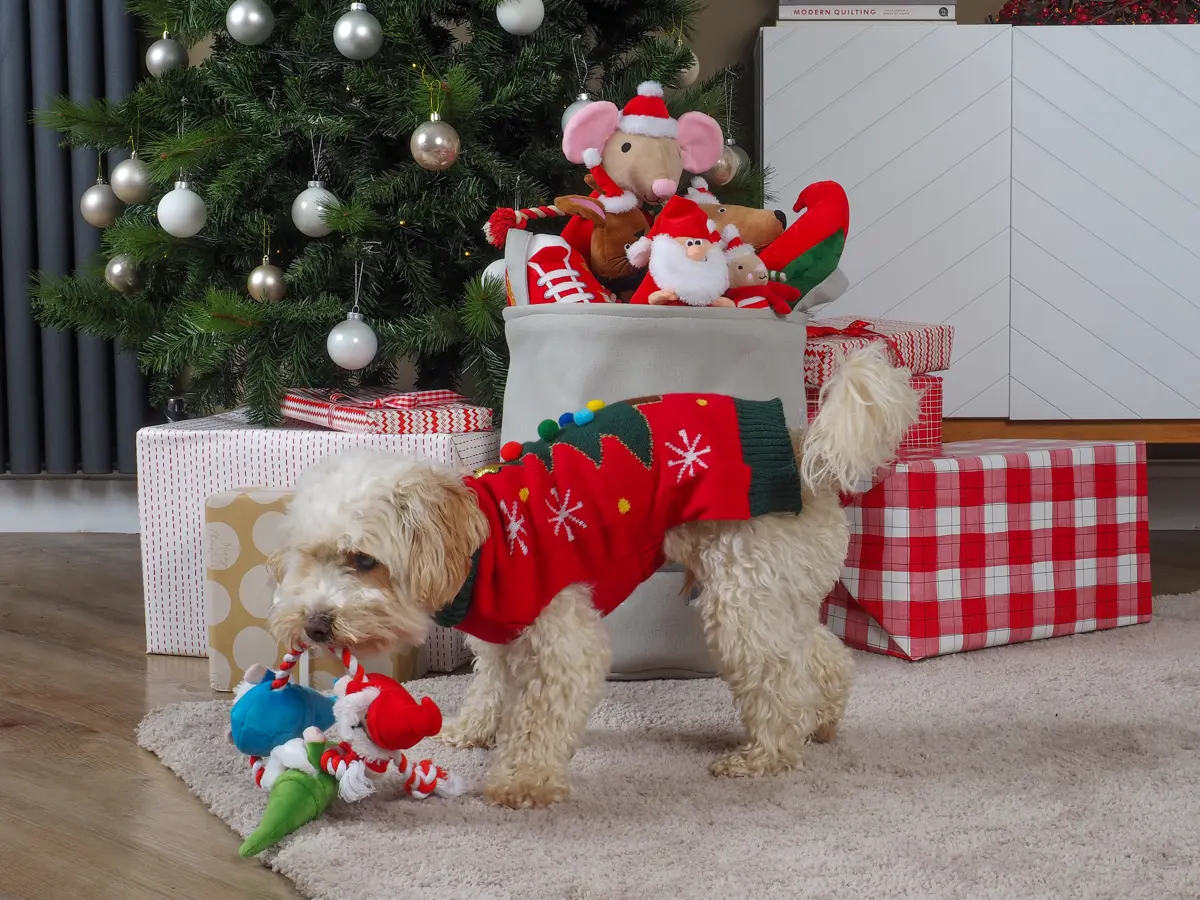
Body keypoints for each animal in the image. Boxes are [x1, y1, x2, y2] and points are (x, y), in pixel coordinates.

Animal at [268, 344, 920, 809]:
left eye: (362, 560)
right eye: (307, 556)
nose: (316, 626)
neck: (482, 547)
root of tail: (804, 447)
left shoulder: (562, 641)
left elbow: (538, 720)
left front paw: (523, 782)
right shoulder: (502, 638)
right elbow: (490, 689)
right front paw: (472, 731)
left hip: (742, 603)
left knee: (782, 683)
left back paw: (766, 756)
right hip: (773, 592)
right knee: (822, 657)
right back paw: (822, 722)